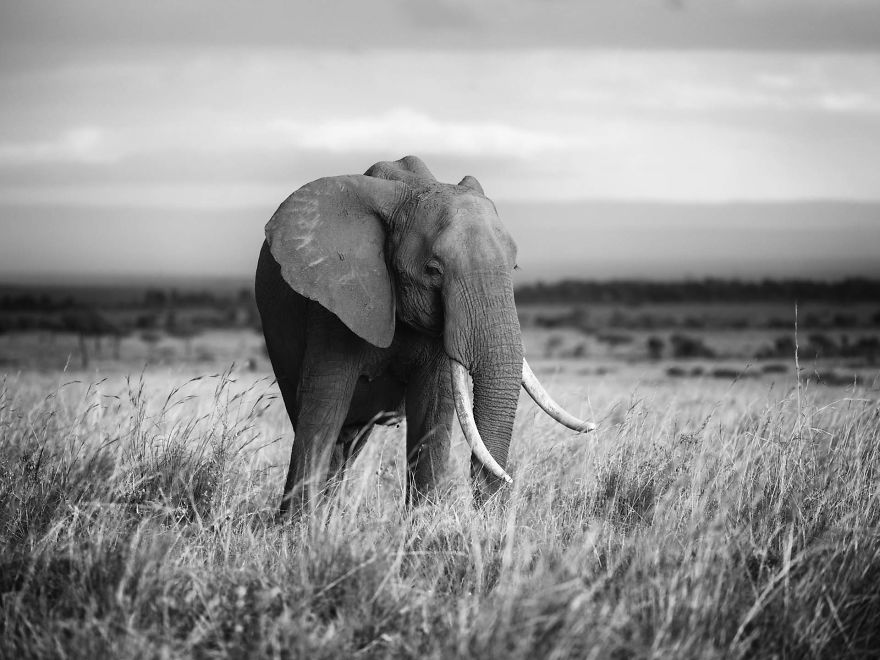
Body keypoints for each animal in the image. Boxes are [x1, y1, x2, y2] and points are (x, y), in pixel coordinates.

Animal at [255, 155, 594, 515]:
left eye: (514, 268)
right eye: (433, 271)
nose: (504, 484)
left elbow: (432, 409)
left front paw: (420, 523)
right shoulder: (334, 300)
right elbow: (324, 407)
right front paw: (297, 526)